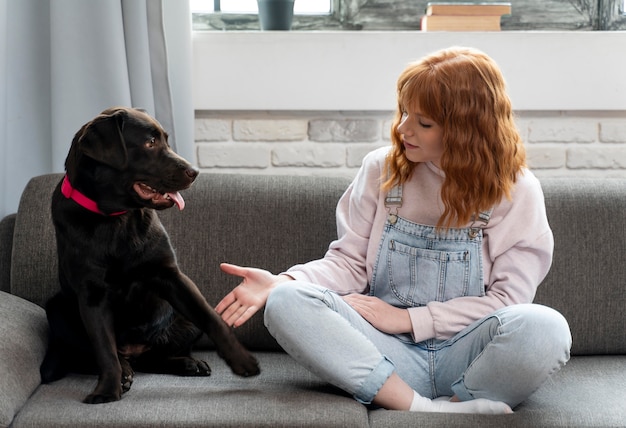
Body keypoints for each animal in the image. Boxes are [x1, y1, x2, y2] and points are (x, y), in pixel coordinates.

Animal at [39, 107, 258, 404]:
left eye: (165, 140)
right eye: (149, 143)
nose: (195, 172)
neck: (115, 218)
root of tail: (135, 349)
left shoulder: (171, 276)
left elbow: (213, 319)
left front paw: (242, 360)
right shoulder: (92, 295)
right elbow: (104, 349)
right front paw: (107, 390)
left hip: (181, 321)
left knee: (156, 357)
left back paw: (188, 363)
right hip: (57, 309)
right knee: (97, 356)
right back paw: (126, 371)